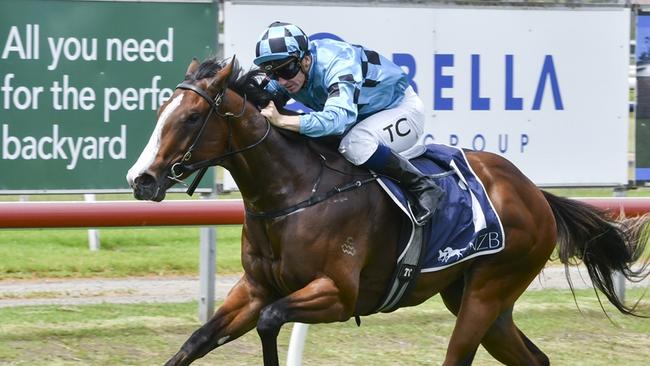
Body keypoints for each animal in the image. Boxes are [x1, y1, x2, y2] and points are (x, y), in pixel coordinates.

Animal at [126, 56, 648, 364]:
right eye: (161, 111)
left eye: (192, 117)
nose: (141, 179)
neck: (292, 192)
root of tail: (535, 194)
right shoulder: (254, 288)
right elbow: (197, 340)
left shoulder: (338, 294)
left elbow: (272, 321)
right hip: (482, 301)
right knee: (534, 359)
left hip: (486, 293)